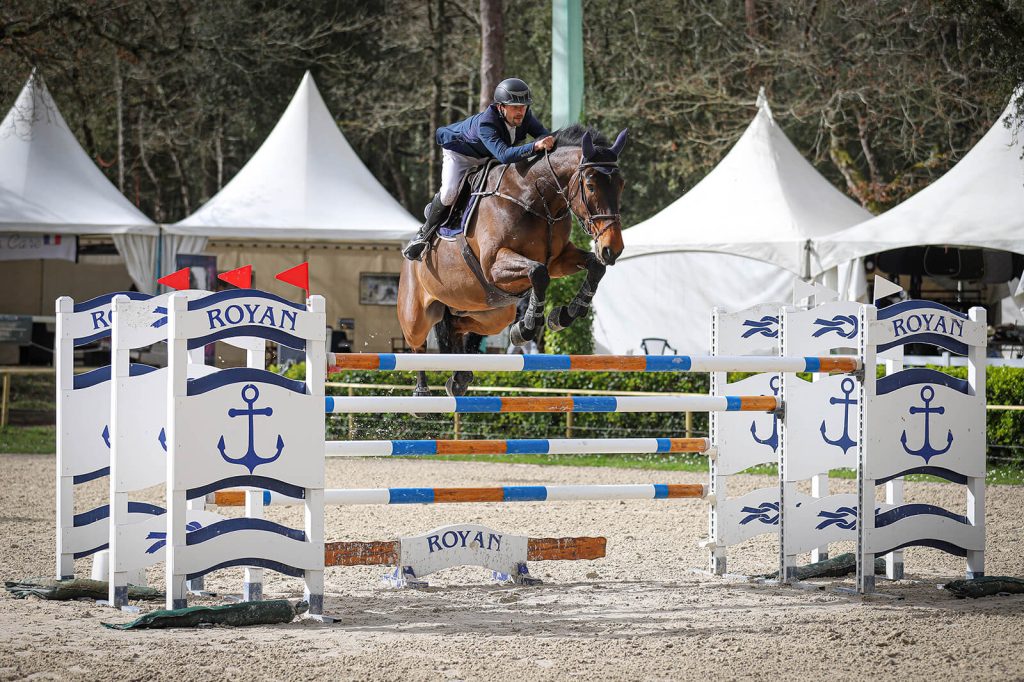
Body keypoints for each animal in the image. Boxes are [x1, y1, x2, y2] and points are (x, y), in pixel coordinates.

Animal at [397, 124, 622, 395]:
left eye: (621, 184)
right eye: (590, 185)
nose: (613, 248)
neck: (536, 200)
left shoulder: (558, 260)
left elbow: (594, 267)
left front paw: (564, 315)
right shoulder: (493, 265)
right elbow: (538, 273)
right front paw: (526, 326)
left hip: (491, 314)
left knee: (456, 326)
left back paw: (459, 378)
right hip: (416, 312)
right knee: (417, 345)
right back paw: (422, 391)